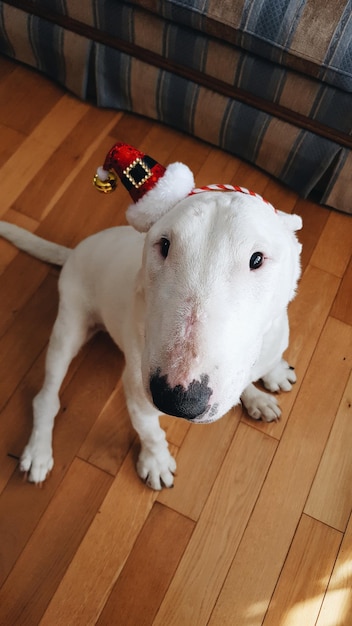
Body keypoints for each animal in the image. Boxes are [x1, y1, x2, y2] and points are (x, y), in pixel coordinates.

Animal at [0, 143, 302, 488]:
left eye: (257, 259)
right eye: (164, 245)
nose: (176, 400)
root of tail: (73, 252)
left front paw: (267, 381)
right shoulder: (136, 389)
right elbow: (150, 431)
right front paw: (156, 462)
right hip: (69, 326)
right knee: (47, 395)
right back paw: (38, 450)